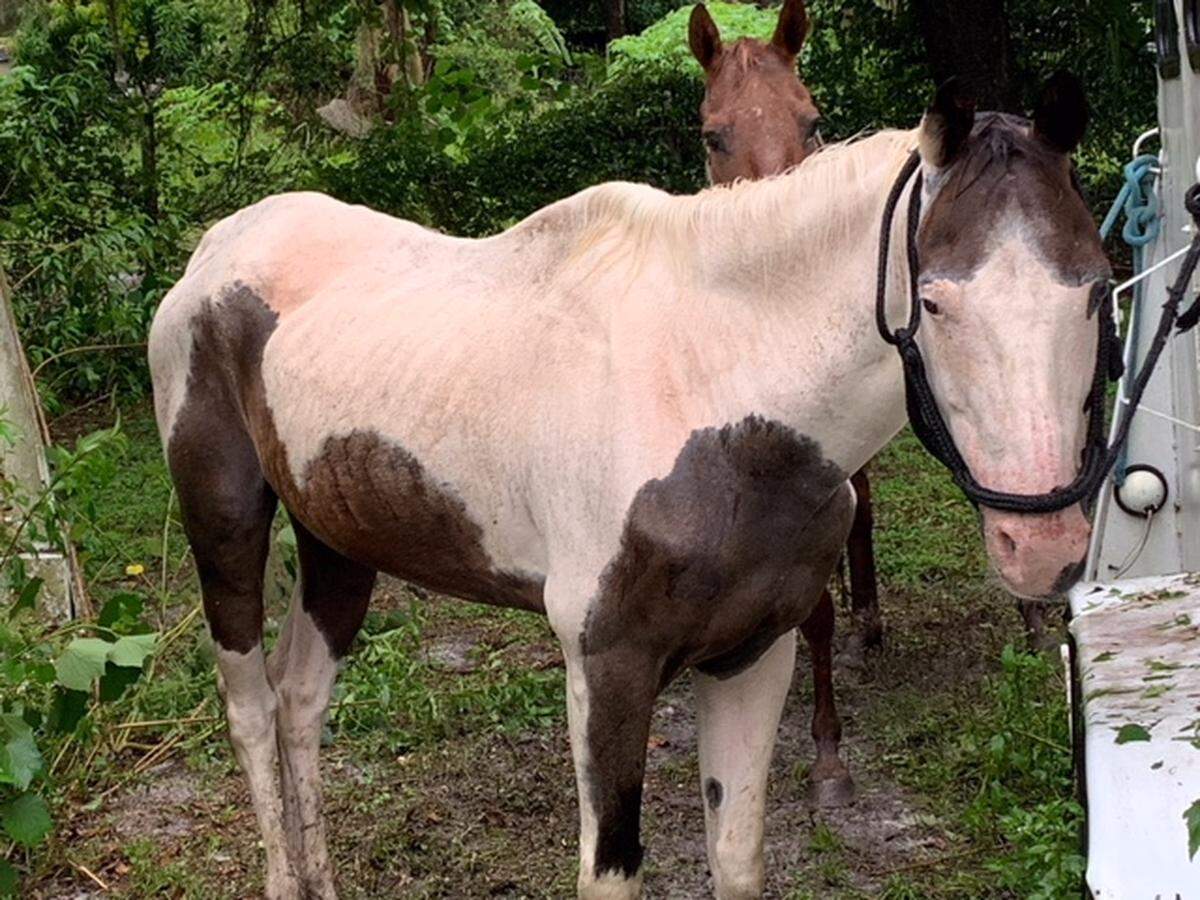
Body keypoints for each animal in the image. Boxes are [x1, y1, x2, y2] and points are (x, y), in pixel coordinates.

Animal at [149, 74, 1103, 899]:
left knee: (301, 699)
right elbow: (611, 870)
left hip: (338, 544)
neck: (711, 383)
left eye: (1094, 289)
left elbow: (737, 856)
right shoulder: (607, 665)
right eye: (935, 301)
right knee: (250, 706)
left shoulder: (754, 653)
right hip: (224, 527)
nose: (1043, 545)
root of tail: (217, 248)